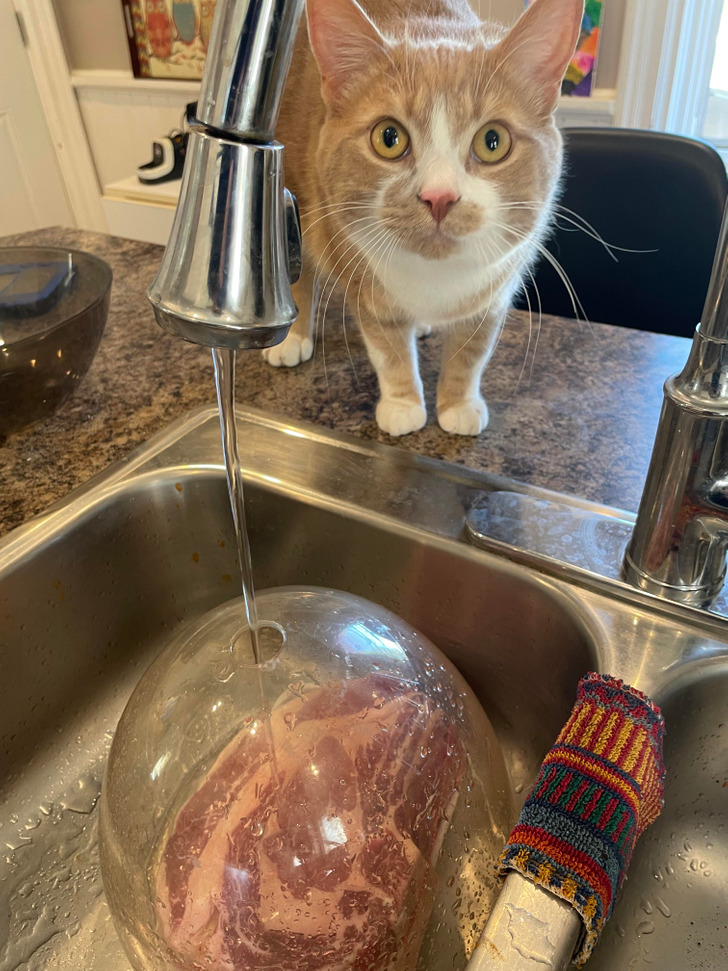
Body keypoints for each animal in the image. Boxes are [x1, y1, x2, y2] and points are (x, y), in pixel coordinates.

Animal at [264, 0, 584, 436]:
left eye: (493, 142)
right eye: (389, 137)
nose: (439, 196)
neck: (435, 278)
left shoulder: (494, 292)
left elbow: (472, 351)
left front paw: (458, 404)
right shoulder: (362, 276)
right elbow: (387, 347)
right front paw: (403, 405)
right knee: (299, 271)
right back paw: (291, 339)